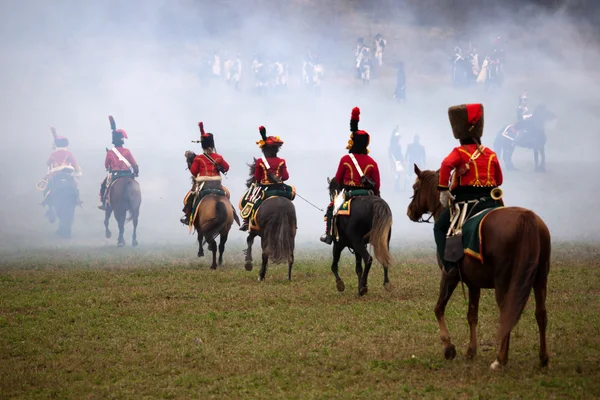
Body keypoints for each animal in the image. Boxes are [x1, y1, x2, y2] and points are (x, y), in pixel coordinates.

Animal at [406, 164, 552, 370]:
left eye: (415, 187)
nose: (410, 211)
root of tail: (527, 218)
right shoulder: (474, 283)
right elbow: (472, 315)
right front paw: (470, 351)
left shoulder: (449, 275)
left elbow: (438, 308)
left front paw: (449, 347)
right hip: (540, 279)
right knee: (541, 314)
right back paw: (543, 358)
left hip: (503, 282)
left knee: (507, 311)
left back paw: (500, 359)